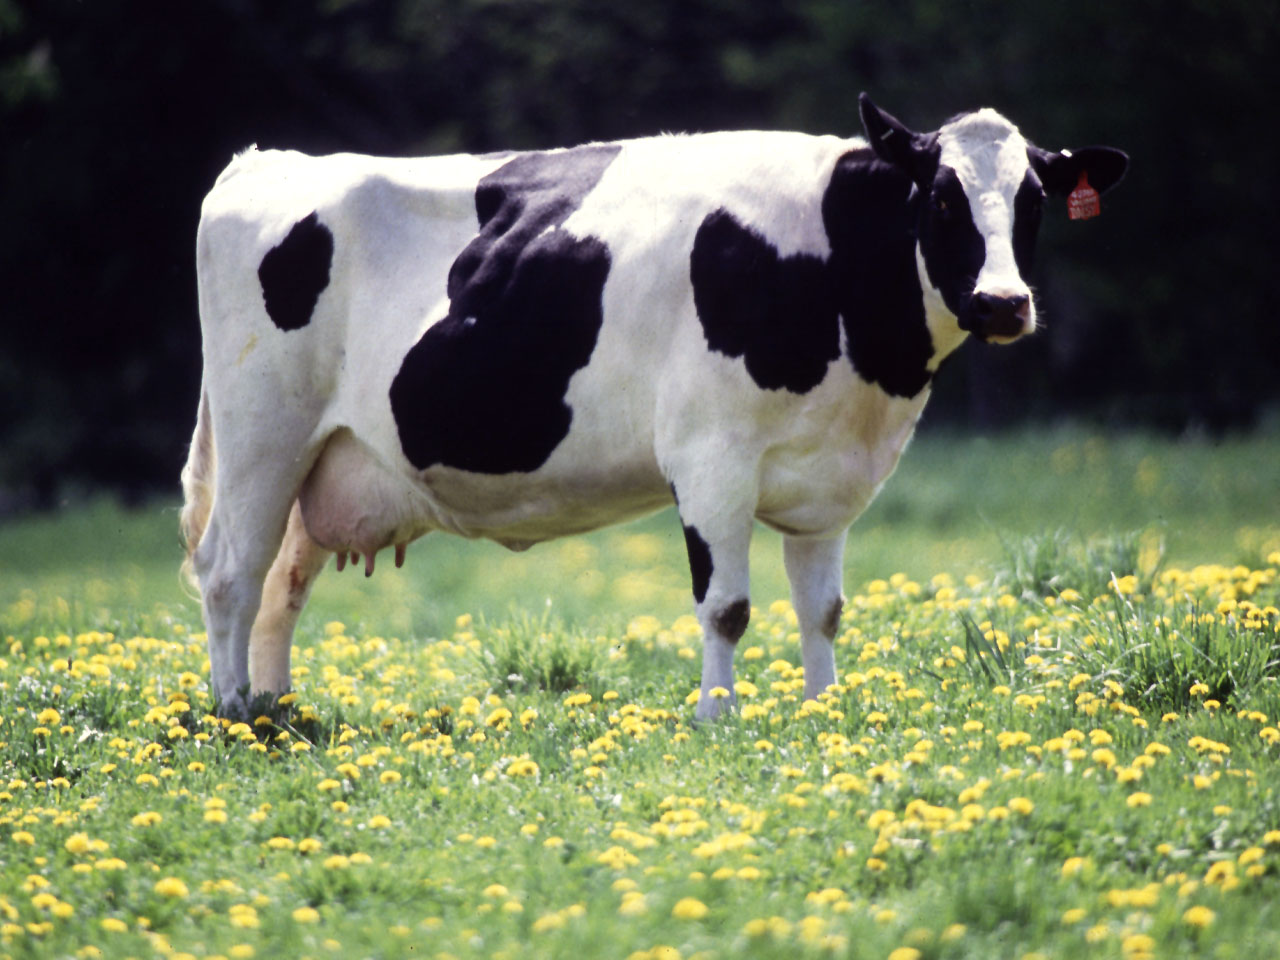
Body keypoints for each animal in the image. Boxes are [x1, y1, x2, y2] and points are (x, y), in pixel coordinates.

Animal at [181, 94, 1127, 720]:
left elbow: (822, 608)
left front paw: (824, 711)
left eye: (1034, 201)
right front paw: (717, 717)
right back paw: (235, 716)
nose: (1003, 303)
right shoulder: (711, 457)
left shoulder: (830, 478)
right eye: (940, 196)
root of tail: (265, 161)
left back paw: (279, 709)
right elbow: (728, 606)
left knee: (282, 583)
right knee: (230, 571)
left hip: (324, 457)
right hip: (263, 432)